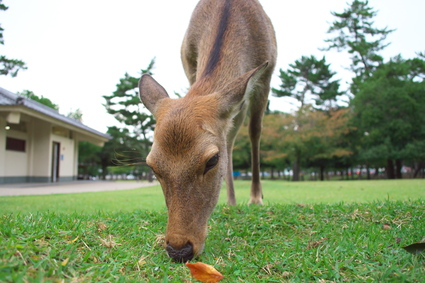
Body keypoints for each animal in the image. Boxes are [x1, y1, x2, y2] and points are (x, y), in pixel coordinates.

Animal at [139, 0, 276, 262]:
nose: (179, 249)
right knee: (230, 139)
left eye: (212, 160)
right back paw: (231, 200)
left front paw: (256, 198)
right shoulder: (188, 64)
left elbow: (255, 131)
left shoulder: (268, 72)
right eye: (152, 166)